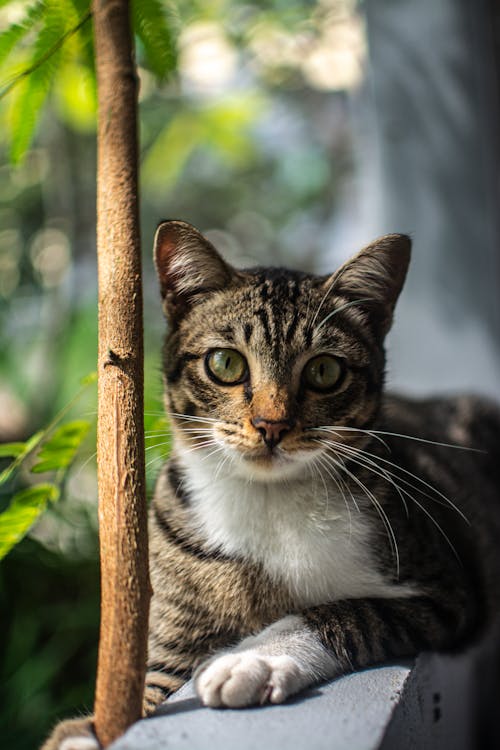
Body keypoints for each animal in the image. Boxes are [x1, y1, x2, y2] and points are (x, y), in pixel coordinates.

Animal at [43, 220, 500, 748]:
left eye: (324, 371)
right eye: (225, 363)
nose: (271, 425)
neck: (269, 502)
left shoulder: (445, 590)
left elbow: (353, 611)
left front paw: (252, 658)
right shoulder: (170, 641)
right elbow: (153, 688)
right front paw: (81, 735)